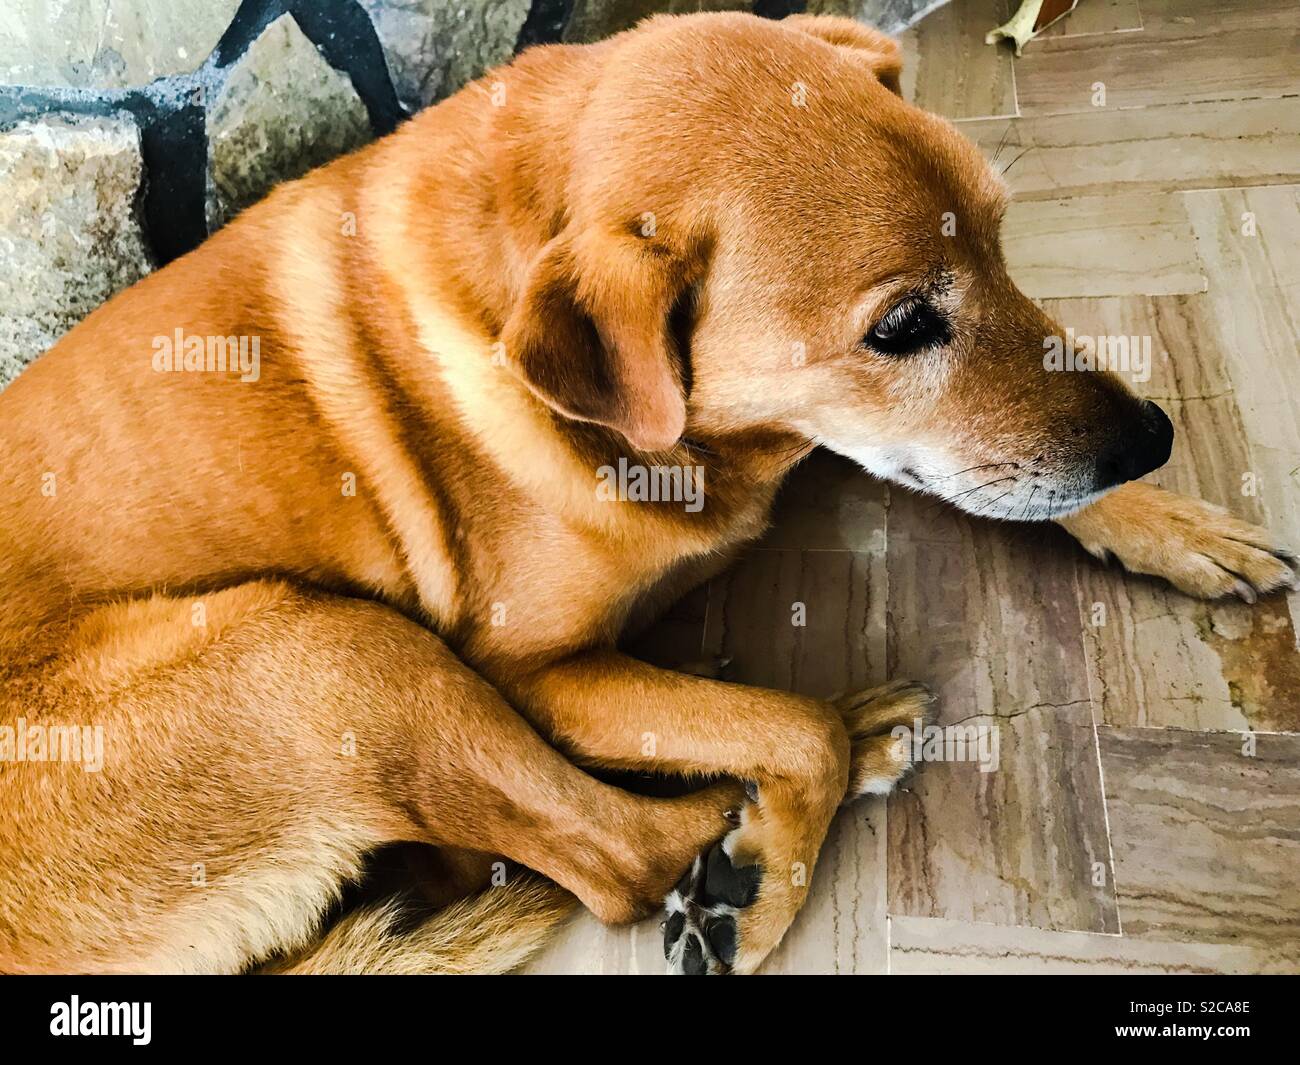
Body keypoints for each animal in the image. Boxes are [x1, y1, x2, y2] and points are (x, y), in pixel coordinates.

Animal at [2, 12, 1300, 977]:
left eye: (998, 235)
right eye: (900, 326)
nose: (1150, 438)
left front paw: (1173, 525)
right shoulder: (536, 672)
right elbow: (784, 731)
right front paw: (765, 889)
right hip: (337, 651)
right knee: (613, 858)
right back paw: (803, 781)